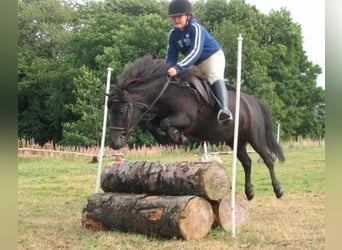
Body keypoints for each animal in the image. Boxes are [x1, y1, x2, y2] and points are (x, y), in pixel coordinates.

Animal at [108, 55, 284, 201]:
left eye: (121, 111)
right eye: (109, 110)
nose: (114, 143)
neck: (167, 92)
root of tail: (253, 101)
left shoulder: (186, 118)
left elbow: (165, 123)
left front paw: (178, 137)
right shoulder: (161, 116)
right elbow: (151, 125)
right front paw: (169, 139)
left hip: (256, 137)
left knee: (268, 159)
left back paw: (278, 190)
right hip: (236, 140)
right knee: (247, 162)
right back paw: (249, 192)